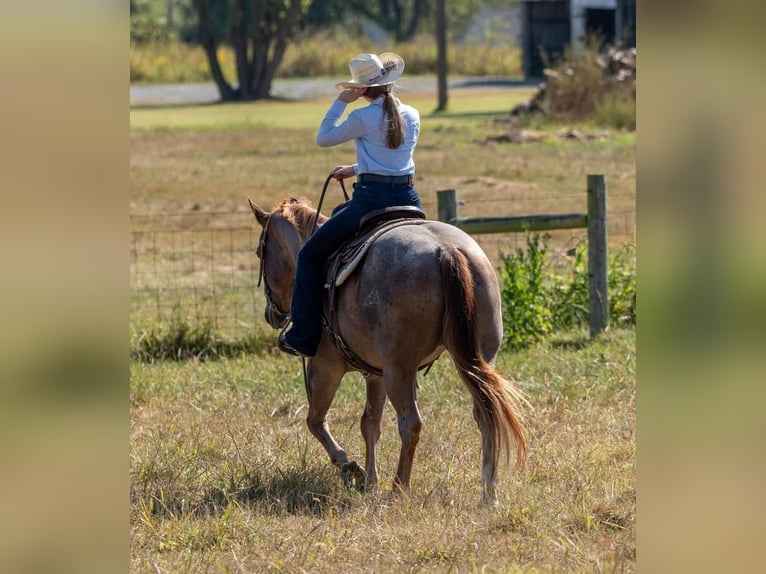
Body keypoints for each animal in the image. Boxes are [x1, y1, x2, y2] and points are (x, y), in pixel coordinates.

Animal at [249, 196, 532, 506]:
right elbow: (370, 423)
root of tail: (445, 251)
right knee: (486, 413)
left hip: (400, 368)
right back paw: (488, 493)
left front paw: (351, 469)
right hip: (478, 358)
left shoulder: (325, 366)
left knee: (411, 422)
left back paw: (398, 488)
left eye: (260, 252)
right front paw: (370, 480)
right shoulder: (376, 374)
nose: (270, 314)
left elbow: (315, 421)